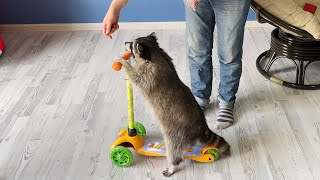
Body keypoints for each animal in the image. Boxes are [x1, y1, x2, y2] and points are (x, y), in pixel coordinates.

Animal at [117, 32, 230, 177]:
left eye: (131, 46)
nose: (125, 42)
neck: (155, 53)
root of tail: (201, 126)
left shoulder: (151, 74)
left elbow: (137, 78)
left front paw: (125, 64)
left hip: (177, 134)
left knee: (174, 150)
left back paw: (173, 165)